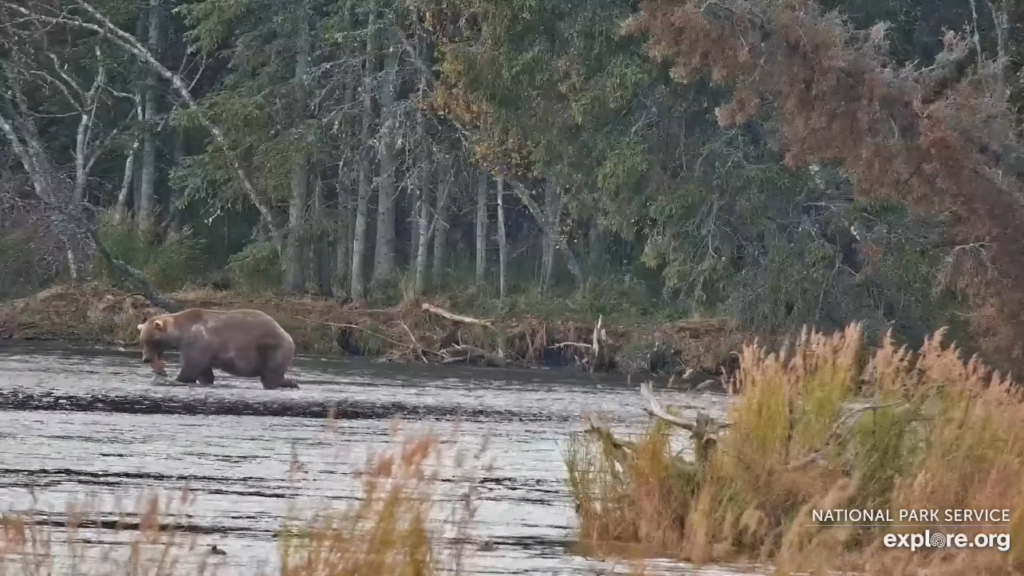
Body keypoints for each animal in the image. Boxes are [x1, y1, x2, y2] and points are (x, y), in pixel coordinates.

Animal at [136, 307, 299, 387]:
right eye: (142, 341)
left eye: (150, 341)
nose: (146, 359)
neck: (181, 332)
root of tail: (286, 333)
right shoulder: (202, 348)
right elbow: (204, 371)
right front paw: (206, 380)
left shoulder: (197, 341)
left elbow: (191, 366)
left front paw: (180, 379)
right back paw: (290, 383)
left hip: (271, 348)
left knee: (271, 374)